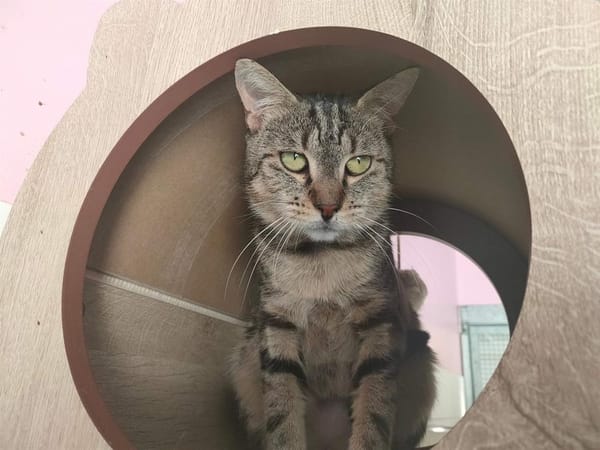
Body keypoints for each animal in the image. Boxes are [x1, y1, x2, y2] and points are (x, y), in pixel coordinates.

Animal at [229, 59, 436, 450]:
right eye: (294, 159)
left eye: (358, 164)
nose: (327, 207)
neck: (321, 263)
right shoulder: (277, 325)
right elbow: (282, 413)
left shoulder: (380, 324)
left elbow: (374, 411)